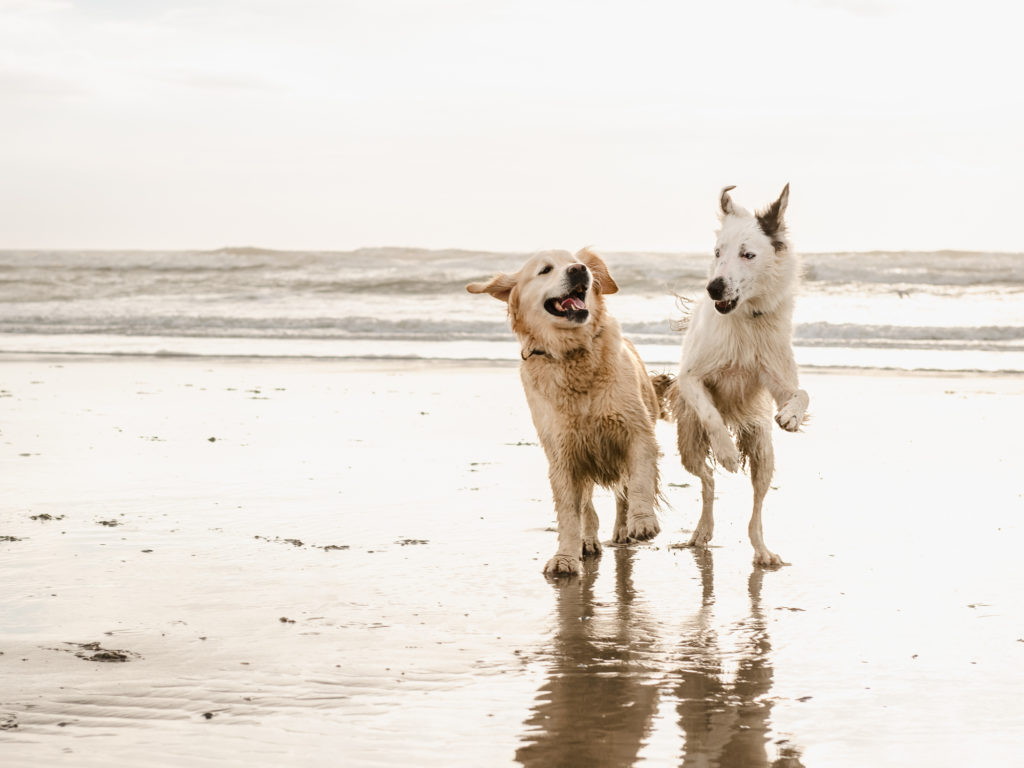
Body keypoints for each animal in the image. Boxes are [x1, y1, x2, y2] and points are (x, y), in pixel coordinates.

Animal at [671, 185, 806, 565]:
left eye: (748, 255)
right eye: (718, 252)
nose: (714, 288)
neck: (747, 317)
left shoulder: (777, 375)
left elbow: (800, 393)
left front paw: (791, 416)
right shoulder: (691, 377)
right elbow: (710, 412)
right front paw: (727, 451)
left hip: (762, 450)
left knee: (757, 506)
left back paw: (762, 551)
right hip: (689, 443)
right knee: (707, 479)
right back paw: (702, 530)